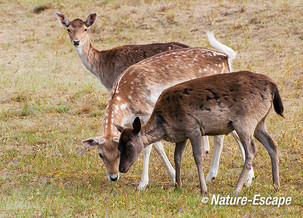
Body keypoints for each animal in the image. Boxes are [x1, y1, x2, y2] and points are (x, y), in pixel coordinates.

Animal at [82, 32, 254, 189]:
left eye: (118, 151)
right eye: (100, 154)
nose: (113, 176)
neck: (126, 100)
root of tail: (226, 58)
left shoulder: (147, 113)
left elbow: (149, 146)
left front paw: (143, 184)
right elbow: (157, 145)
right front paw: (173, 177)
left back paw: (248, 180)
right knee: (223, 135)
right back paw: (213, 175)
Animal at [117, 70, 284, 193]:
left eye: (130, 145)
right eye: (118, 146)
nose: (121, 168)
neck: (165, 123)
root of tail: (273, 86)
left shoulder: (193, 128)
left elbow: (197, 157)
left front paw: (203, 189)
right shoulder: (181, 136)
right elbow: (177, 157)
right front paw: (177, 185)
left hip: (245, 121)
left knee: (251, 151)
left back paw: (237, 188)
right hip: (260, 122)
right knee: (272, 144)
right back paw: (276, 185)